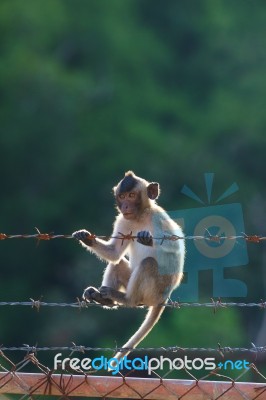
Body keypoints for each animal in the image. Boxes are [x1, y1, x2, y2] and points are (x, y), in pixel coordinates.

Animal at [72, 172, 185, 362]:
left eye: (132, 196)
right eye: (122, 196)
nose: (125, 205)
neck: (140, 216)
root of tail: (165, 296)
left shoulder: (159, 218)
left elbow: (174, 246)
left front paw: (148, 238)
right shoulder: (123, 220)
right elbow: (114, 253)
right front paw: (86, 237)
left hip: (156, 290)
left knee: (148, 263)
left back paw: (127, 299)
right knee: (117, 264)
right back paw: (104, 298)